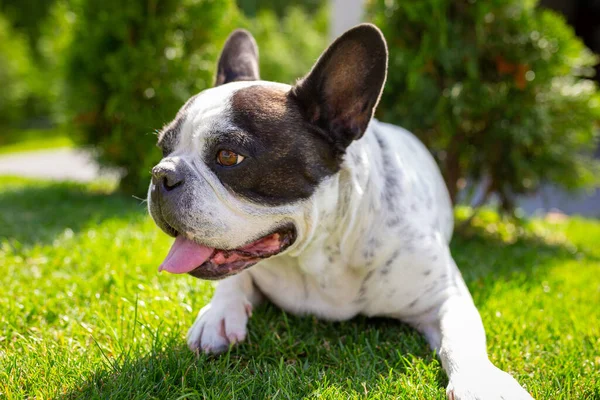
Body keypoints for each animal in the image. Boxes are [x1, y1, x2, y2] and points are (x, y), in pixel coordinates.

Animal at [148, 23, 532, 398]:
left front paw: (481, 382)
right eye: (164, 147)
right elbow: (233, 280)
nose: (162, 174)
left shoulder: (445, 295)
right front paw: (218, 316)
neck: (320, 254)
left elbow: (461, 337)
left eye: (228, 156)